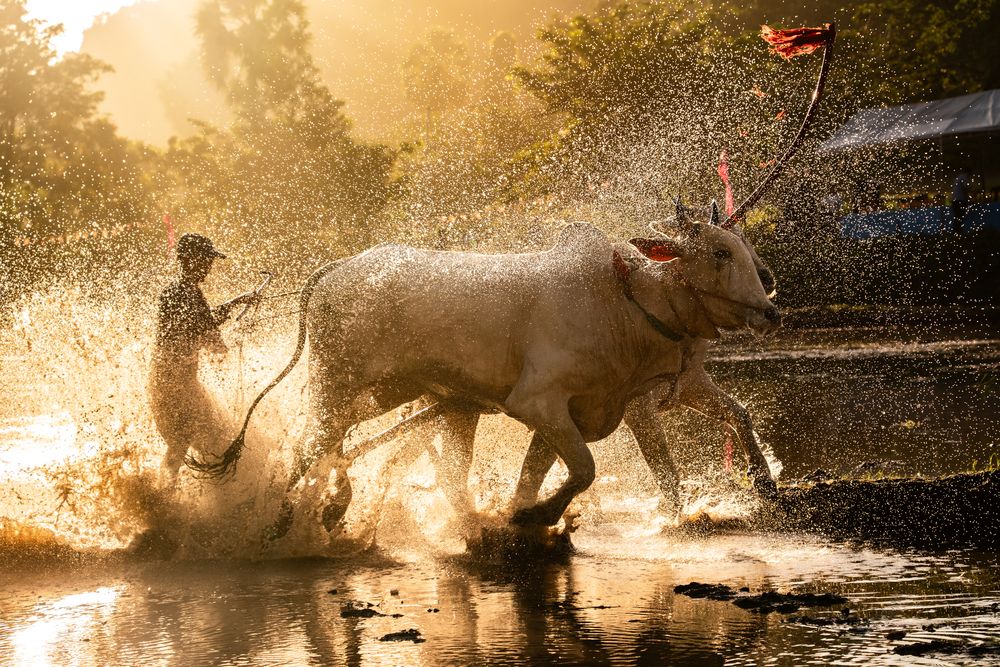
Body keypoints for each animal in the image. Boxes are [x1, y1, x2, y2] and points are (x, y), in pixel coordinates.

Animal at [187, 201, 780, 540]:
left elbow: (543, 473)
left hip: (395, 396)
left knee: (356, 450)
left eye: (743, 246)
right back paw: (284, 518)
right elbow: (586, 470)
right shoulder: (538, 402)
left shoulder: (576, 414)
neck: (627, 304)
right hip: (337, 383)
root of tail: (337, 268)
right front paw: (533, 518)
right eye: (721, 251)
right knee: (309, 445)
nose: (771, 310)